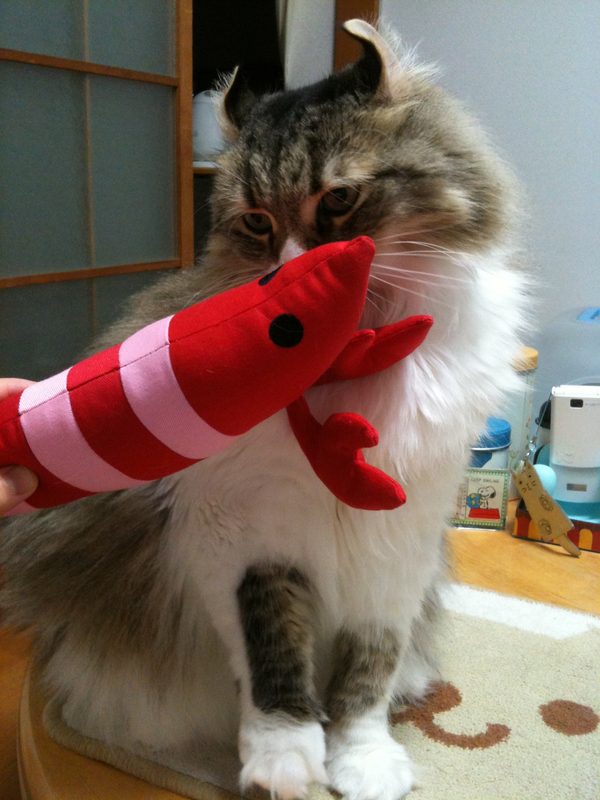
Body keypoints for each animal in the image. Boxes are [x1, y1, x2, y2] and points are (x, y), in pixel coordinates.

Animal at [0, 20, 528, 800]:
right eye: (255, 221)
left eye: (338, 201)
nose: (285, 278)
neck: (346, 362)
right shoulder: (240, 539)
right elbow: (272, 659)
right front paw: (283, 761)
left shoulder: (397, 551)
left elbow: (369, 676)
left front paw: (361, 762)